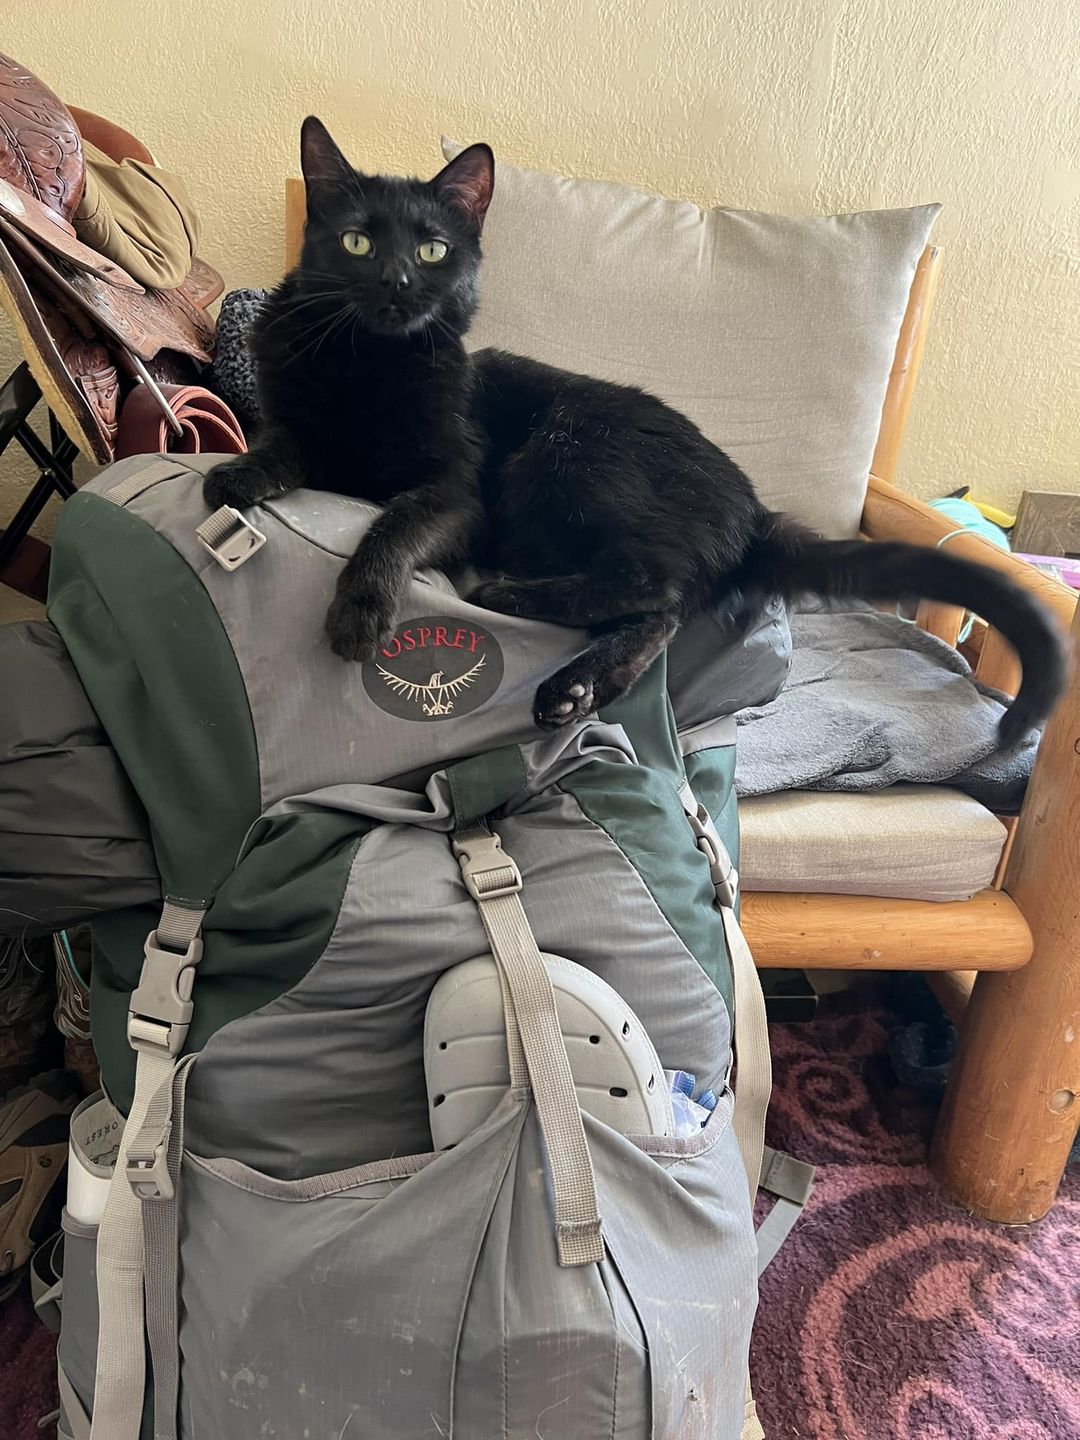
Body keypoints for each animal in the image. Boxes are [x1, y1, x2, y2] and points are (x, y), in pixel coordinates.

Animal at [207, 120, 1071, 743]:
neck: (368, 363)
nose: (396, 282)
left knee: (656, 587)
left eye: (432, 248)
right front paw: (237, 474)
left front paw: (360, 608)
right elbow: (281, 442)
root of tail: (752, 507)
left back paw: (514, 600)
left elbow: (398, 518)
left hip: (564, 450)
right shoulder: (300, 417)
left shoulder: (457, 490)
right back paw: (583, 683)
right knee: (663, 607)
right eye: (356, 241)